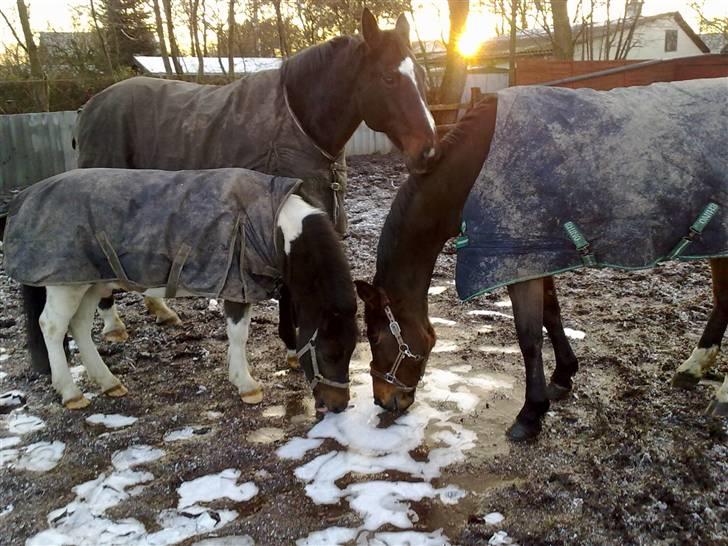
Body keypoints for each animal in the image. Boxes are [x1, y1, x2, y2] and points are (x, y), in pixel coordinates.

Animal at [4, 168, 356, 410]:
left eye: (352, 349)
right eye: (328, 351)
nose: (338, 405)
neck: (274, 226)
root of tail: (27, 197)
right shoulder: (235, 287)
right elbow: (238, 334)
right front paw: (246, 385)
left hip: (88, 282)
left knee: (78, 326)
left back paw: (108, 383)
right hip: (65, 285)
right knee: (52, 327)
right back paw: (70, 393)